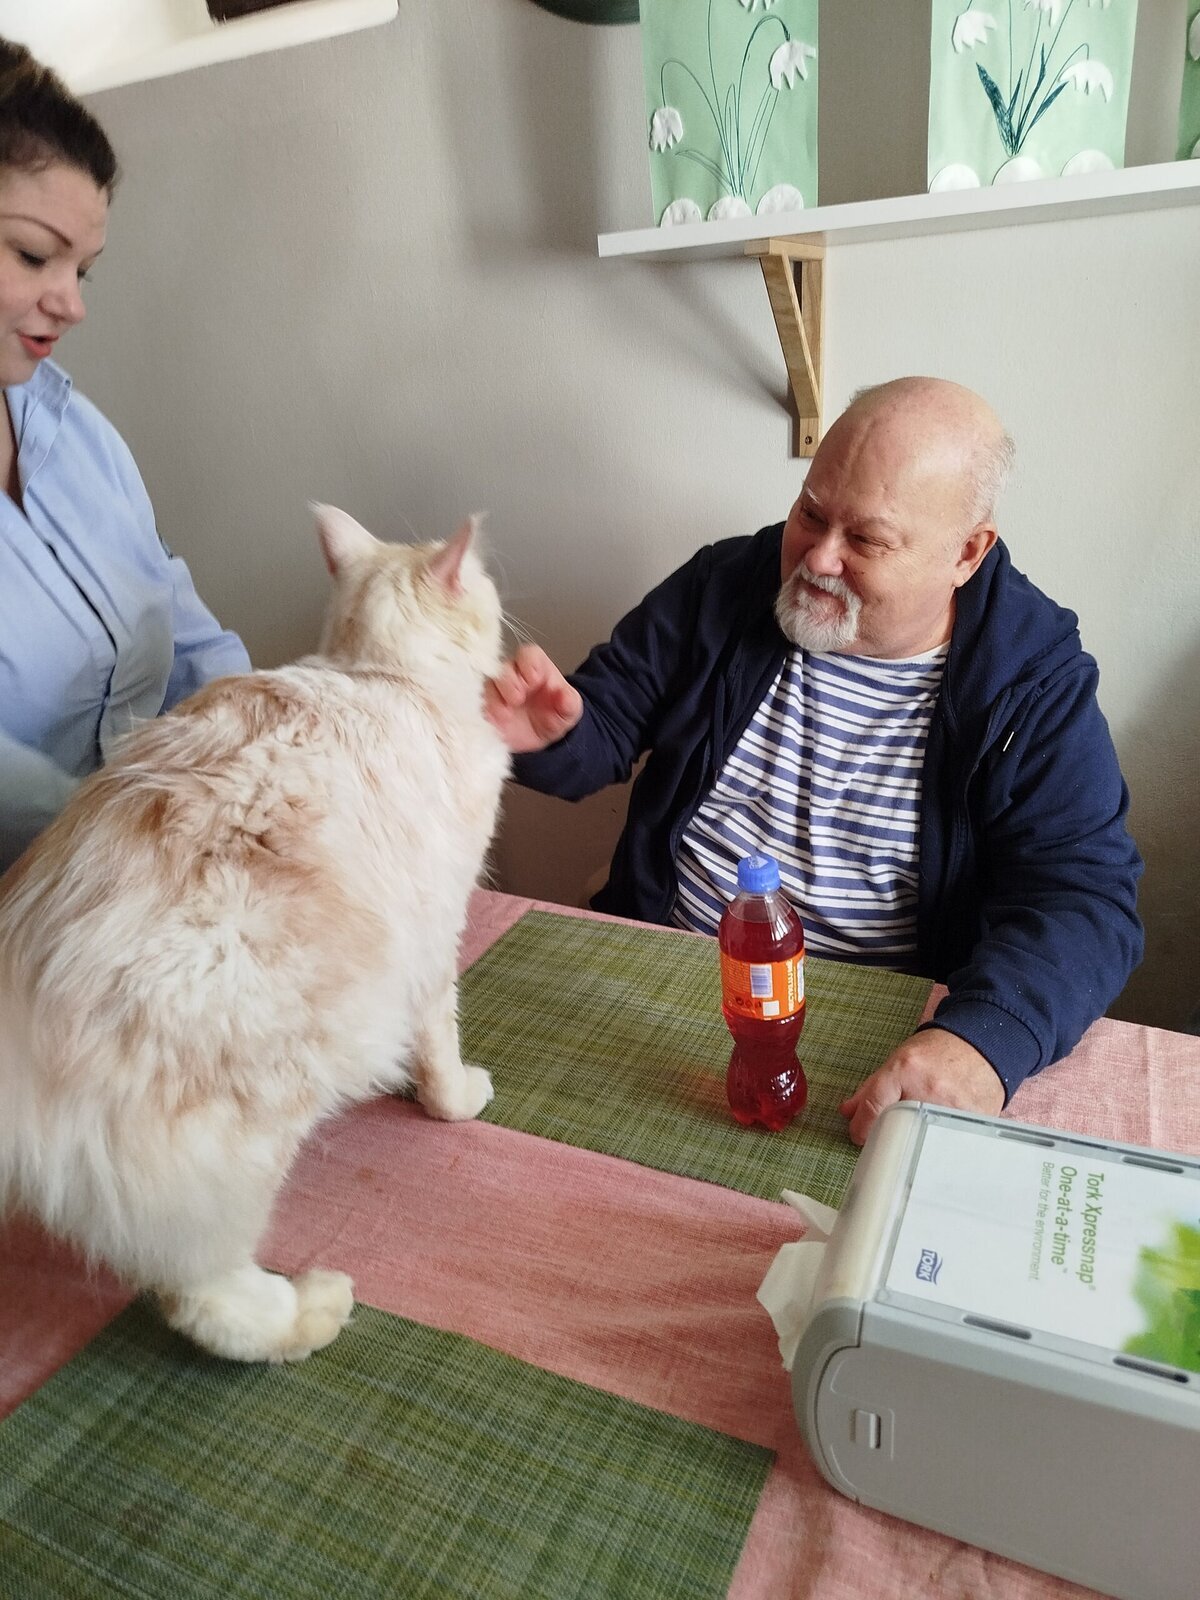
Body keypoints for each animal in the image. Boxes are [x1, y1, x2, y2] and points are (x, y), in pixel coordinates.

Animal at [0, 505, 511, 1364]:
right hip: (249, 1125)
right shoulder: (436, 934)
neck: (378, 675)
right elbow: (441, 1049)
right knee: (201, 1295)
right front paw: (454, 1097)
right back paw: (308, 1313)